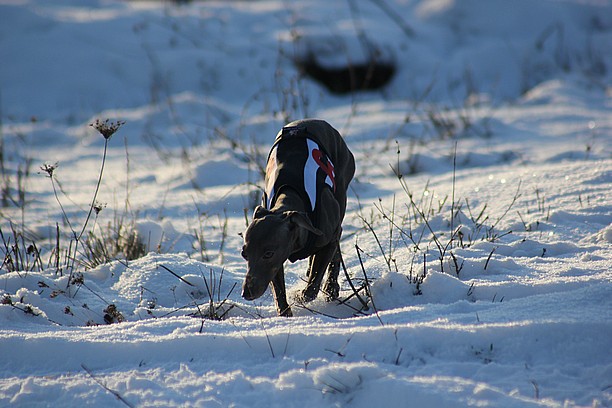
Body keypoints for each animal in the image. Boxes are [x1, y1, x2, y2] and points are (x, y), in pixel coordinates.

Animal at [239, 118, 354, 316]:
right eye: (244, 254)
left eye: (268, 253)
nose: (247, 292)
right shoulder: (278, 259)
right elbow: (279, 290)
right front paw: (285, 313)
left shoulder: (328, 238)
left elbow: (313, 285)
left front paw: (302, 295)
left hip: (341, 186)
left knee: (335, 249)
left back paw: (331, 288)